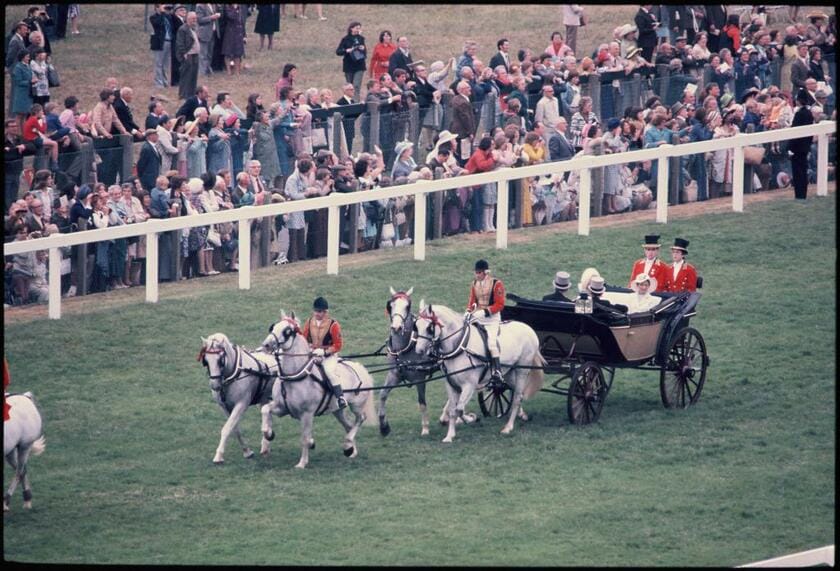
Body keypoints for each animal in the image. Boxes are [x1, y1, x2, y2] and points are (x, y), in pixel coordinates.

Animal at [199, 336, 278, 464]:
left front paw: (219, 455)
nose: (215, 385)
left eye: (220, 360)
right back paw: (266, 445)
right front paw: (247, 452)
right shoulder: (224, 407)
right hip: (264, 397)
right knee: (268, 416)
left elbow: (227, 428)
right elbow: (235, 429)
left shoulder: (241, 404)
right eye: (205, 360)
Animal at [256, 312, 374, 470]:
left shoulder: (307, 414)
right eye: (273, 327)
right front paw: (268, 433)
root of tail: (359, 367)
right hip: (337, 410)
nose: (266, 345)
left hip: (356, 406)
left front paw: (302, 463)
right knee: (348, 426)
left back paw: (348, 445)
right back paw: (351, 450)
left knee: (360, 419)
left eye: (287, 331)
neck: (294, 377)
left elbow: (305, 438)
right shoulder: (282, 408)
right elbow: (265, 410)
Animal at [412, 302, 544, 444]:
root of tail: (528, 328)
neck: (460, 346)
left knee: (517, 397)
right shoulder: (451, 385)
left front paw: (471, 418)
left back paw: (508, 427)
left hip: (521, 371)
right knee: (516, 393)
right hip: (508, 373)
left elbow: (459, 409)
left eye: (429, 328)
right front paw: (450, 435)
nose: (419, 351)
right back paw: (522, 415)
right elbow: (453, 410)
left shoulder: (469, 385)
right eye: (416, 326)